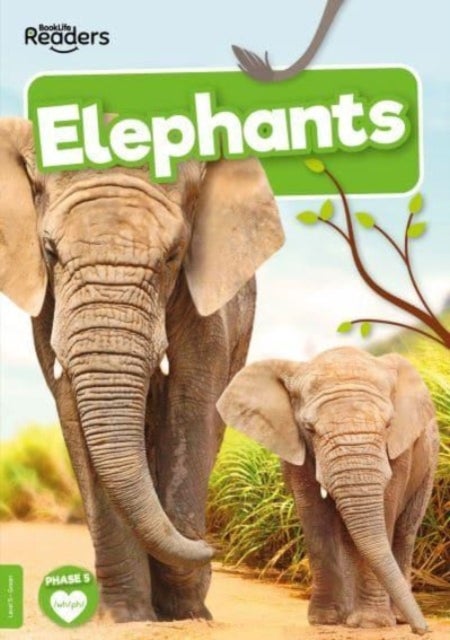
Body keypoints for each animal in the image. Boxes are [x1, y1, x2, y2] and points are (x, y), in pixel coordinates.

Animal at [0, 117, 284, 622]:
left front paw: (186, 611)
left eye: (174, 255)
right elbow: (72, 406)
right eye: (49, 252)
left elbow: (192, 401)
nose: (214, 548)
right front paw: (126, 617)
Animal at [217, 346, 439, 635]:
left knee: (405, 531)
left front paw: (371, 624)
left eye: (389, 424)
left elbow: (387, 510)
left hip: (429, 464)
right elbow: (315, 517)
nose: (423, 629)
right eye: (309, 428)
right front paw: (325, 620)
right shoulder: (295, 447)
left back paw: (395, 617)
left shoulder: (401, 451)